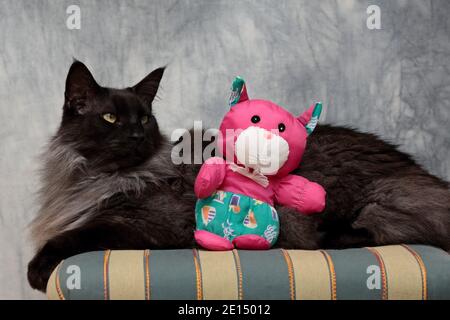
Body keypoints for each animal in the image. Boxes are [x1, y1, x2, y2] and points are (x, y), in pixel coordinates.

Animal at [27, 60, 450, 292]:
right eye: (111, 118)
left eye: (144, 119)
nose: (135, 135)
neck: (94, 178)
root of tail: (410, 170)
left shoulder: (140, 225)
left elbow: (70, 238)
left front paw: (37, 271)